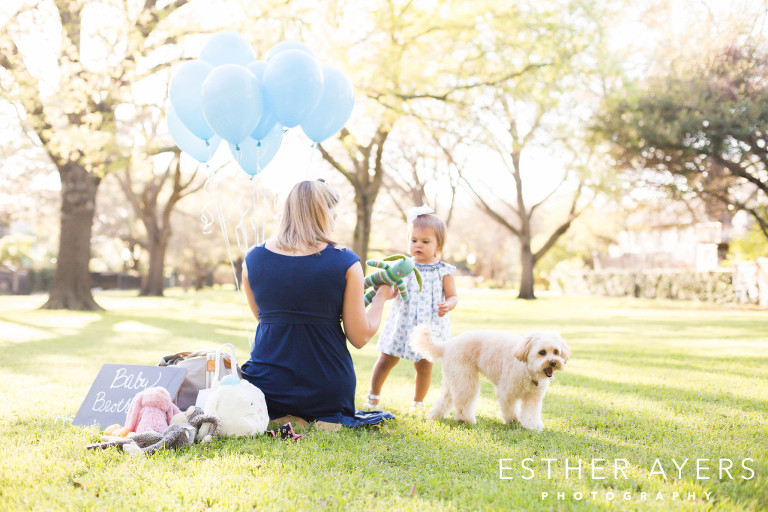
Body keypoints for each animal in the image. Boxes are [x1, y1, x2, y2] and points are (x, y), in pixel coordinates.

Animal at [414, 326, 568, 430]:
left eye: (556, 352)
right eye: (542, 352)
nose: (553, 362)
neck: (526, 367)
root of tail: (447, 345)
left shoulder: (533, 397)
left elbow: (531, 412)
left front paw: (533, 425)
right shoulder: (506, 393)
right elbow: (510, 409)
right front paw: (512, 421)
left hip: (454, 379)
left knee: (446, 399)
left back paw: (435, 416)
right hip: (465, 380)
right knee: (462, 403)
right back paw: (465, 419)